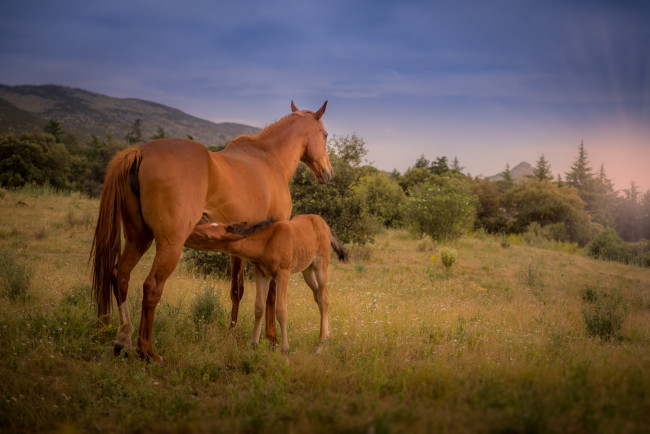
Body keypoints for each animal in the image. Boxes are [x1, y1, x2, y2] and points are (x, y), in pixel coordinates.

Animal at [185, 214, 346, 352]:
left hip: (321, 264)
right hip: (306, 270)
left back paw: (320, 345)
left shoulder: (283, 273)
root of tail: (325, 224)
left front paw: (285, 349)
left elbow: (281, 310)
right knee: (319, 295)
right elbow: (259, 307)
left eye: (207, 236)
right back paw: (327, 338)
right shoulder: (261, 274)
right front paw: (253, 345)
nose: (188, 234)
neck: (267, 243)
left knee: (323, 297)